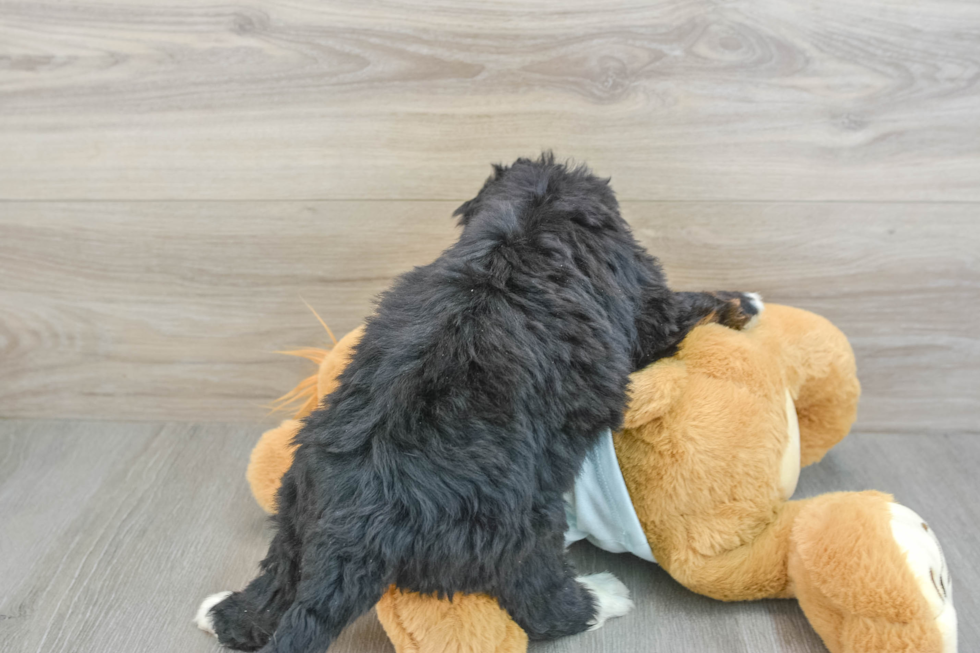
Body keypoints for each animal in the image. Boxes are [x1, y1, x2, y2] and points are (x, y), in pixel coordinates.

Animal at [191, 155, 756, 648]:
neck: (528, 222)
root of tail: (355, 527)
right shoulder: (642, 307)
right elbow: (683, 308)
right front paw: (744, 302)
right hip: (522, 523)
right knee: (539, 600)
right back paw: (602, 597)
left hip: (297, 502)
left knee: (278, 575)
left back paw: (223, 612)